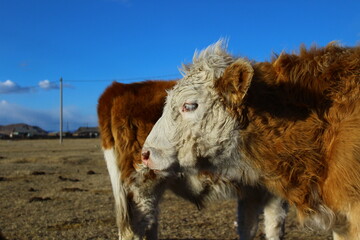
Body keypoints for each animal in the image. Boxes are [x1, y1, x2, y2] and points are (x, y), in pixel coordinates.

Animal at [96, 80, 286, 240]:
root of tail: (118, 88)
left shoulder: (252, 191)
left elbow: (248, 227)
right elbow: (275, 227)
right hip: (142, 186)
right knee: (135, 229)